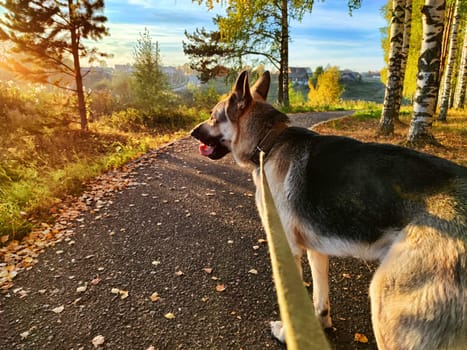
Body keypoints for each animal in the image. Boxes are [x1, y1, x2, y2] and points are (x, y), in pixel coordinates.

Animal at [190, 71, 467, 350]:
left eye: (213, 115)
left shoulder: (288, 250)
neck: (270, 141)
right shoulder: (316, 250)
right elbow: (319, 299)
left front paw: (286, 333)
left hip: (388, 302)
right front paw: (318, 325)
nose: (192, 132)